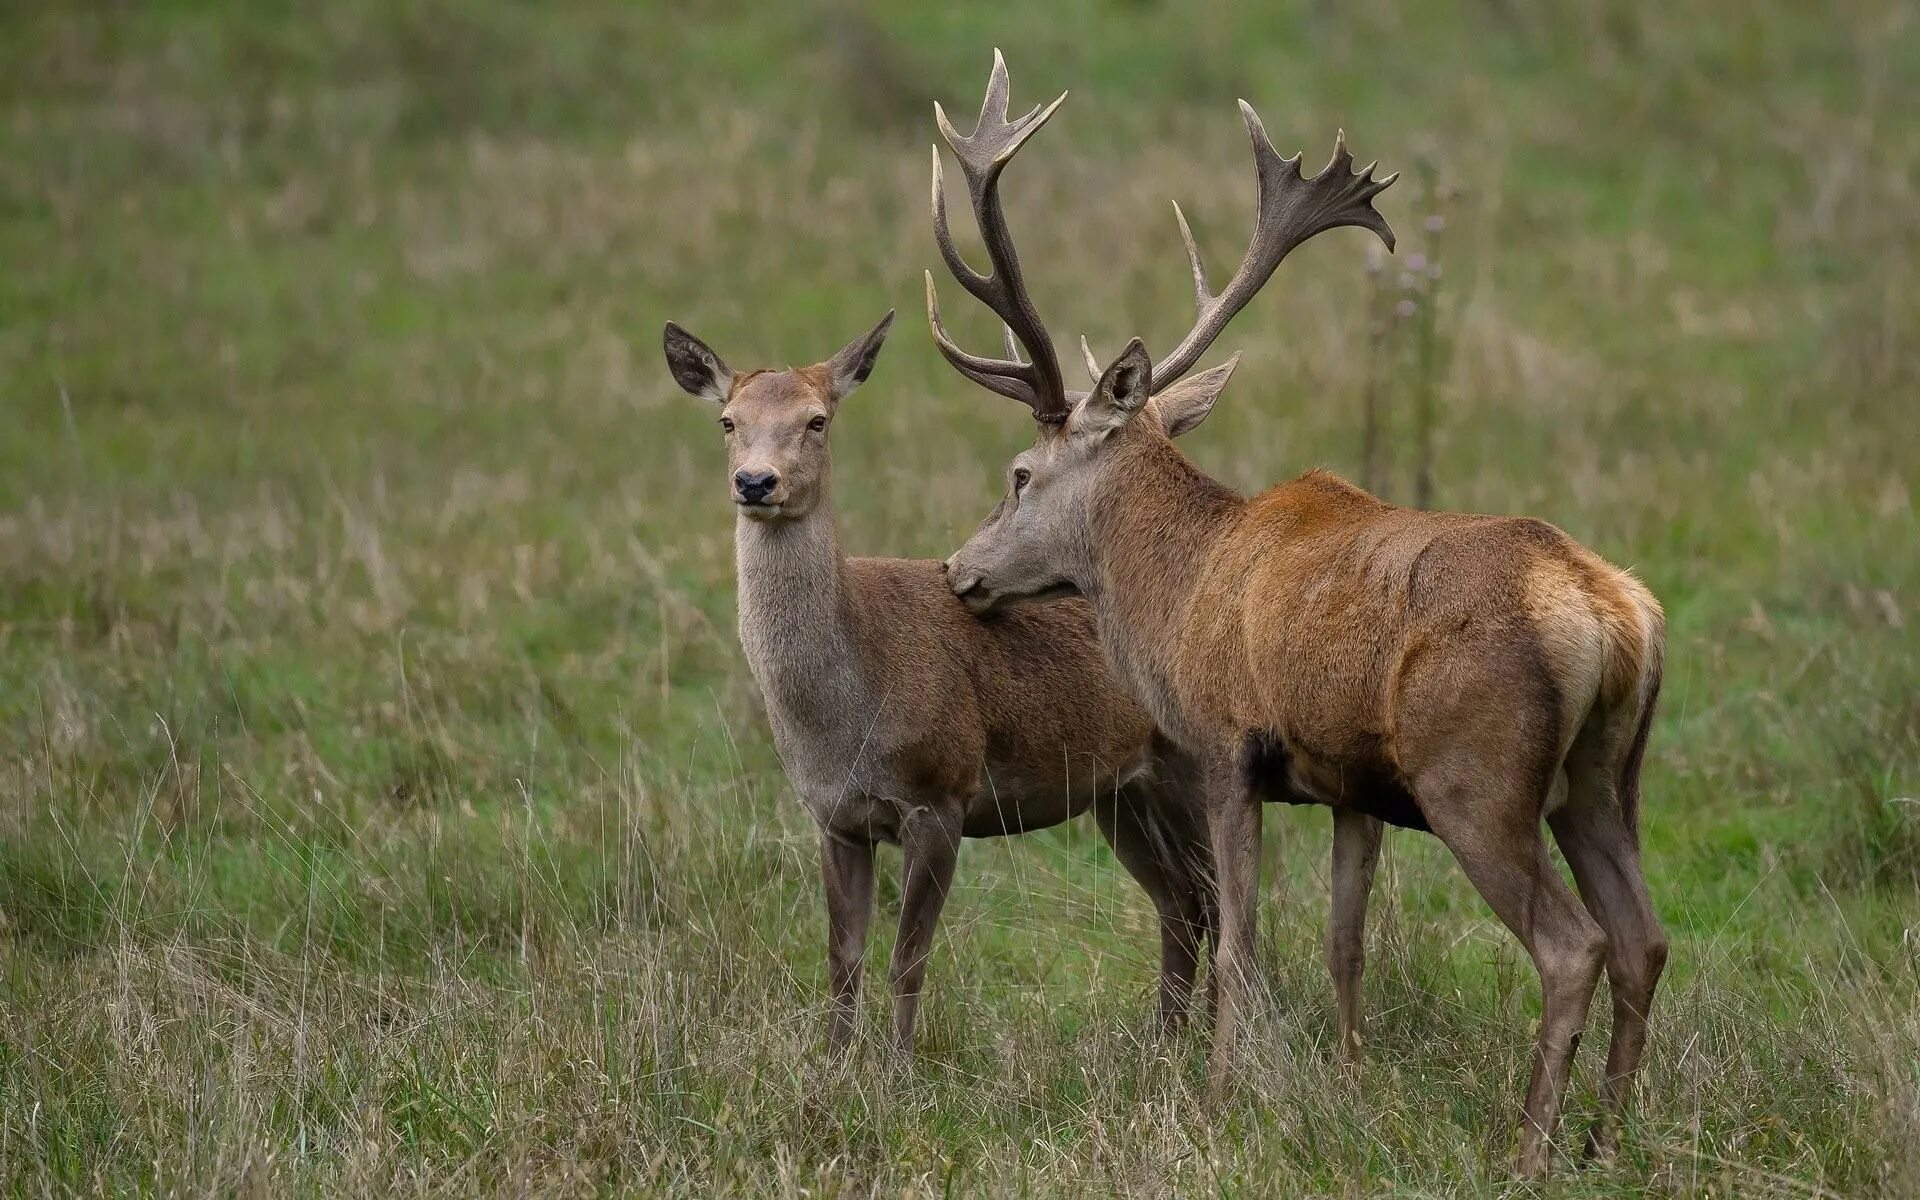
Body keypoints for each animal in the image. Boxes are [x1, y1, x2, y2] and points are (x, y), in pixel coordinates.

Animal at [652, 311, 1205, 1059]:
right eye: (727, 420)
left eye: (818, 419)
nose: (756, 482)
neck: (849, 709)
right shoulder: (833, 815)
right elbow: (843, 956)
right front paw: (833, 1066)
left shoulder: (941, 791)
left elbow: (908, 956)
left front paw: (899, 1070)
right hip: (1118, 793)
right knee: (1179, 904)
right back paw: (1165, 1045)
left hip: (1191, 762)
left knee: (1219, 899)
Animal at [925, 53, 1666, 1167]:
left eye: (1018, 473)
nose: (958, 570)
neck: (1178, 591)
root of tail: (1609, 614)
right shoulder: (1351, 784)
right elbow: (1342, 944)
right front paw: (1351, 1089)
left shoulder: (1230, 745)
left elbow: (1240, 938)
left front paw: (1222, 1097)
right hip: (1605, 777)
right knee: (1645, 939)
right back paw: (1604, 1144)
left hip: (1478, 775)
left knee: (1573, 944)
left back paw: (1531, 1146)